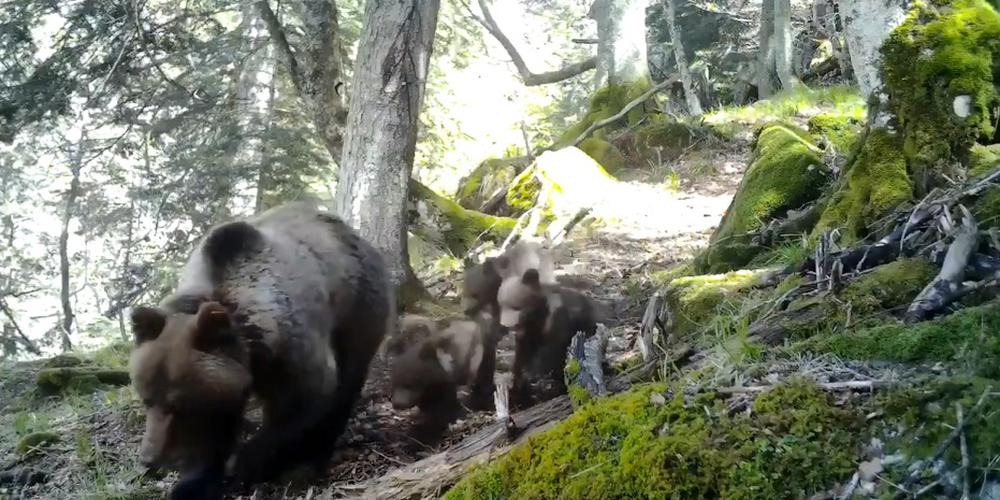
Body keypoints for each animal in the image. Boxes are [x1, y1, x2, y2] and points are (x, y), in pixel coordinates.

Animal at [128, 201, 392, 499]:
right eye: (146, 399)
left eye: (176, 404)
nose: (148, 458)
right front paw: (193, 483)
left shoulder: (292, 352)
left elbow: (303, 402)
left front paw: (247, 463)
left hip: (360, 306)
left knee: (349, 378)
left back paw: (314, 456)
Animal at [496, 268, 598, 408]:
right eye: (501, 304)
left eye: (516, 306)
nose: (505, 325)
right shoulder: (528, 332)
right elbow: (522, 355)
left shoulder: (558, 321)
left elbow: (550, 353)